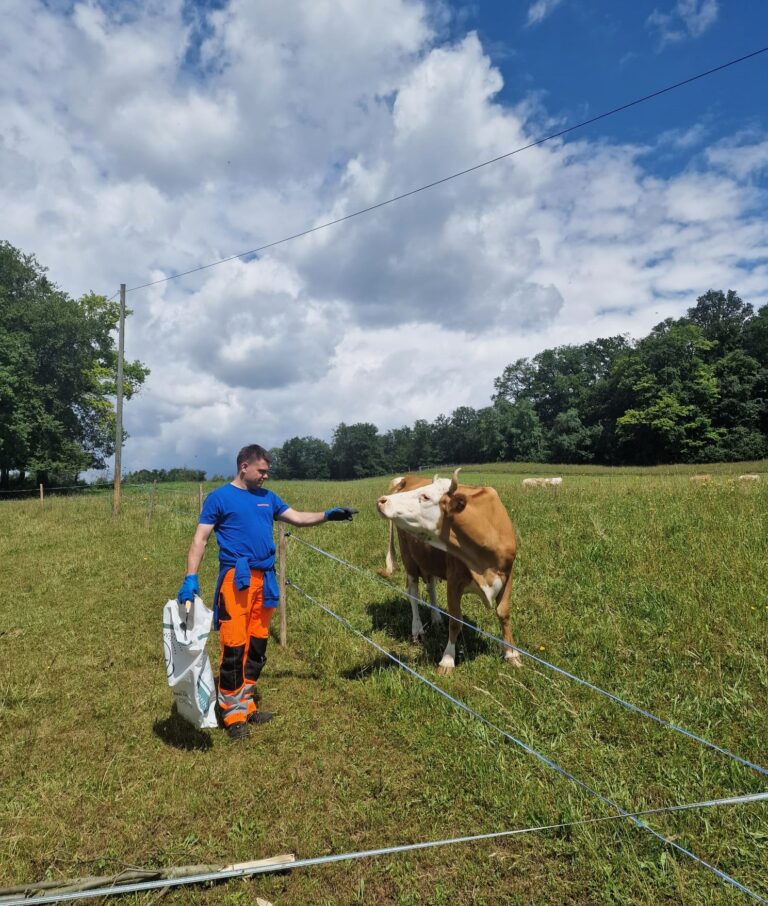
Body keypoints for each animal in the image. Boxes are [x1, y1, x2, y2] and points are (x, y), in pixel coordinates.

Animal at [376, 470, 520, 676]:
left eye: (426, 496)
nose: (382, 500)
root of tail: (406, 478)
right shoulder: (454, 581)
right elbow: (456, 621)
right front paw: (447, 660)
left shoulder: (508, 574)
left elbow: (504, 613)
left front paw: (511, 654)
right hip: (409, 559)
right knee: (413, 593)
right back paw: (417, 629)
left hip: (428, 561)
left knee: (430, 587)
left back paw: (436, 618)